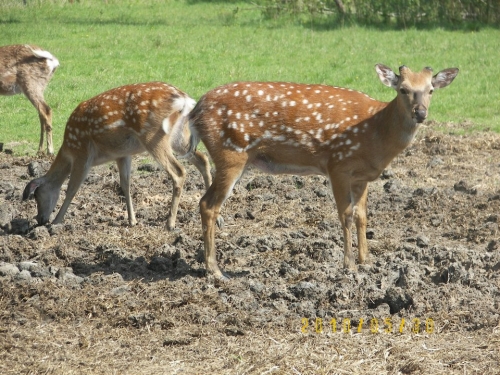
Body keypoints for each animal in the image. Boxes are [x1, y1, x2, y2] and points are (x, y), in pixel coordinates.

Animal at [22, 82, 211, 229]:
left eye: (37, 196)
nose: (40, 220)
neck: (68, 149)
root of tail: (184, 100)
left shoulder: (82, 153)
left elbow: (72, 188)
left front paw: (56, 221)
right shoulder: (123, 154)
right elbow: (125, 184)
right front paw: (132, 220)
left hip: (153, 134)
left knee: (178, 171)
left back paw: (170, 223)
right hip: (179, 137)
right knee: (203, 159)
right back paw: (213, 213)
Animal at [188, 64, 458, 280]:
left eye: (431, 90)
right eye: (402, 89)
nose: (420, 112)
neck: (376, 132)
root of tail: (195, 111)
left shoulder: (361, 176)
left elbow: (362, 216)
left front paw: (366, 261)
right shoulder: (338, 164)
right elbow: (346, 215)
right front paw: (349, 265)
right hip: (230, 153)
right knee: (208, 204)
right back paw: (216, 270)